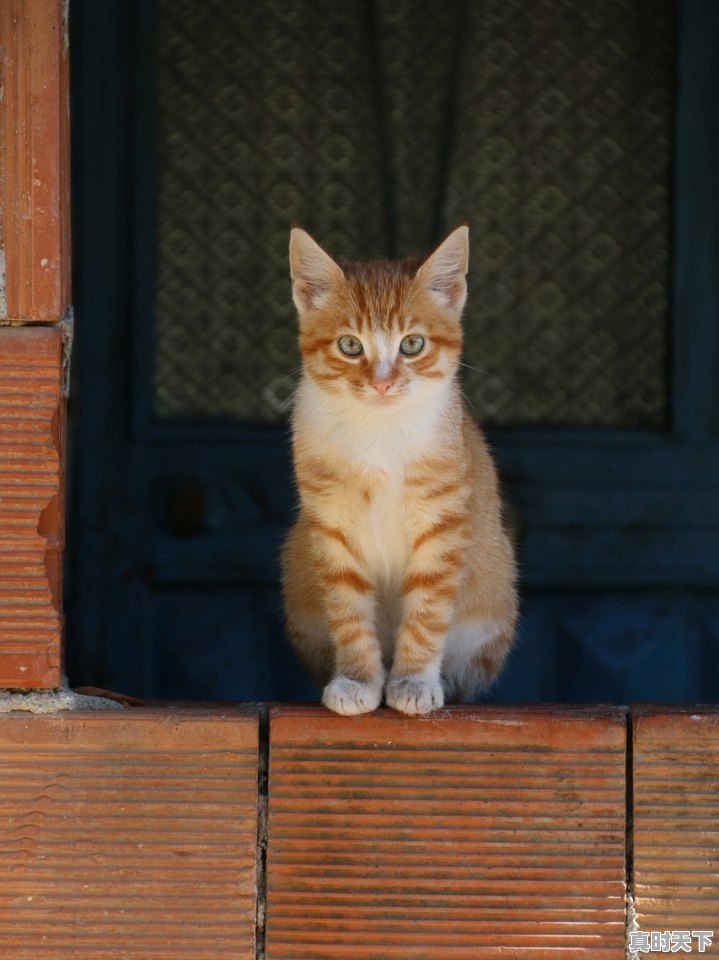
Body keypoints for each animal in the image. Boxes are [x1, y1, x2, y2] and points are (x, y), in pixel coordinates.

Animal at [282, 225, 516, 716]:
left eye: (412, 344)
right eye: (350, 345)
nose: (382, 382)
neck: (380, 431)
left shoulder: (443, 524)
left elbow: (427, 611)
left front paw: (412, 681)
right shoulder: (331, 524)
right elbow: (348, 609)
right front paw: (357, 680)